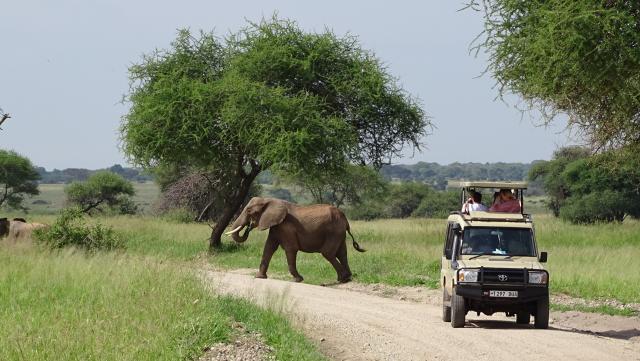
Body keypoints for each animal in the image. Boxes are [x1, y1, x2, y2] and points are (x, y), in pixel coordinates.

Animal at [226, 195, 364, 282]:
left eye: (249, 211)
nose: (248, 227)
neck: (269, 200)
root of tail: (345, 219)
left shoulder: (286, 228)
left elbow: (290, 249)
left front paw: (298, 279)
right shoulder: (276, 226)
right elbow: (269, 248)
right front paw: (259, 277)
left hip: (334, 232)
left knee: (328, 253)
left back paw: (343, 279)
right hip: (339, 233)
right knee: (342, 253)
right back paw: (347, 278)